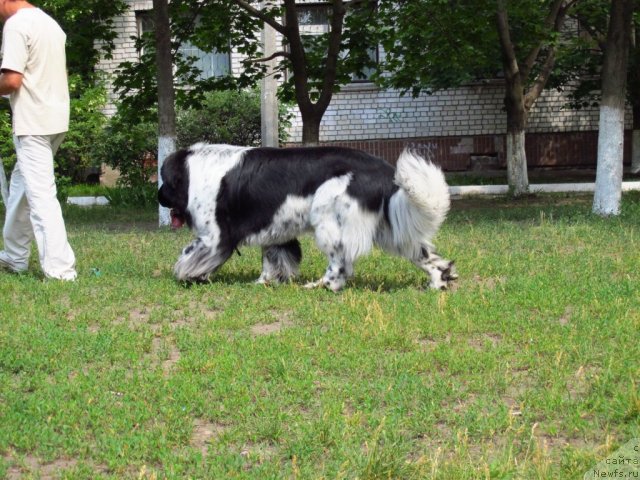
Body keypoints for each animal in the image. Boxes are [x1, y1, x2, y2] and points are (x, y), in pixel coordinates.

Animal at [158, 142, 458, 290]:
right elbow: (273, 259)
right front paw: (265, 283)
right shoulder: (276, 229)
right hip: (389, 230)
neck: (194, 170)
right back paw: (440, 280)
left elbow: (190, 255)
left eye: (165, 182)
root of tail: (386, 171)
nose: (159, 196)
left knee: (340, 263)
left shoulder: (215, 236)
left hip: (328, 216)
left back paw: (322, 286)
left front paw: (187, 276)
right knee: (423, 253)